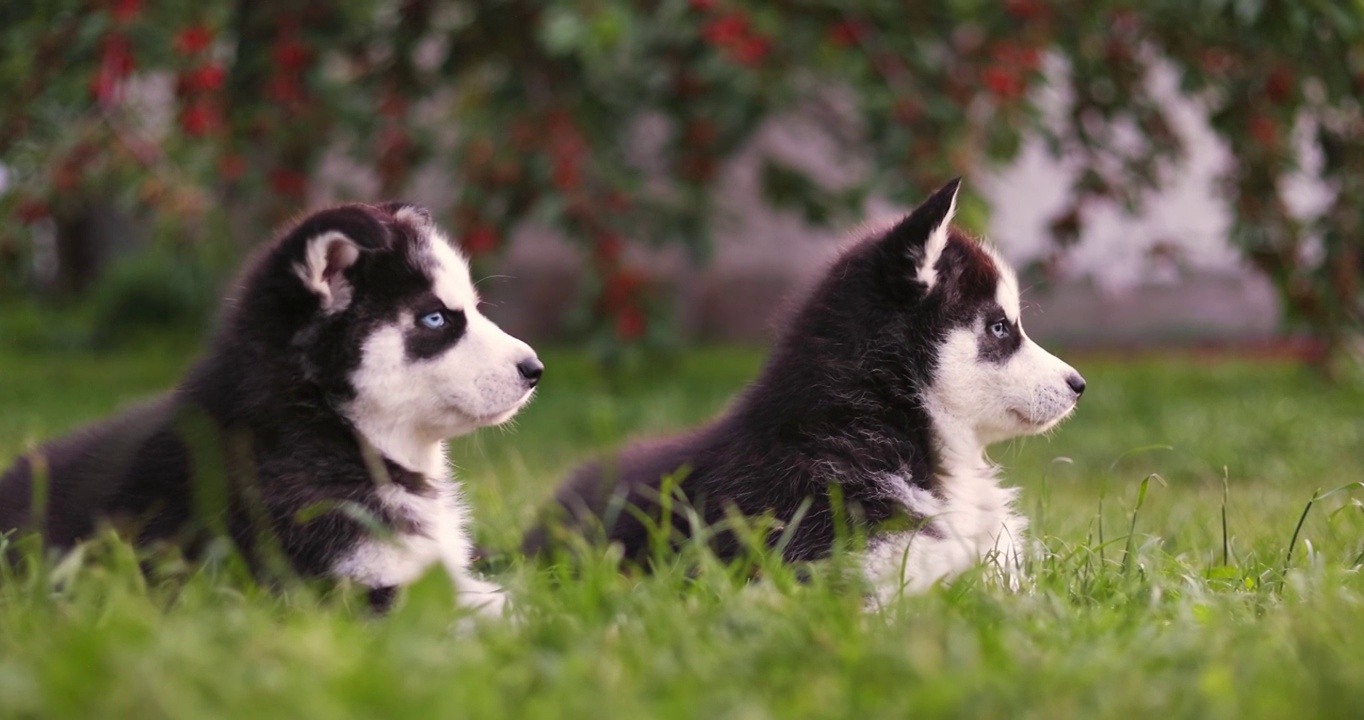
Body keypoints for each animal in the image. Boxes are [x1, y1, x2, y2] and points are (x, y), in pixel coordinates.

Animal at [0, 200, 542, 613]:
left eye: (472, 309)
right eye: (435, 319)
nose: (534, 368)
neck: (327, 426)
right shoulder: (334, 580)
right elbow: (494, 613)